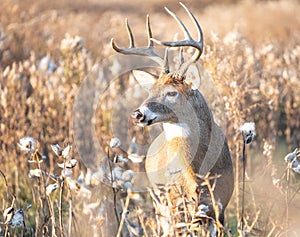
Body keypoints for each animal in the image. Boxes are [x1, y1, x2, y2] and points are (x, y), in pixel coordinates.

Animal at [111, 2, 233, 230]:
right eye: (151, 90)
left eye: (171, 93)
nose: (138, 114)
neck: (198, 179)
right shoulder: (177, 206)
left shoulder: (220, 207)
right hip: (161, 202)